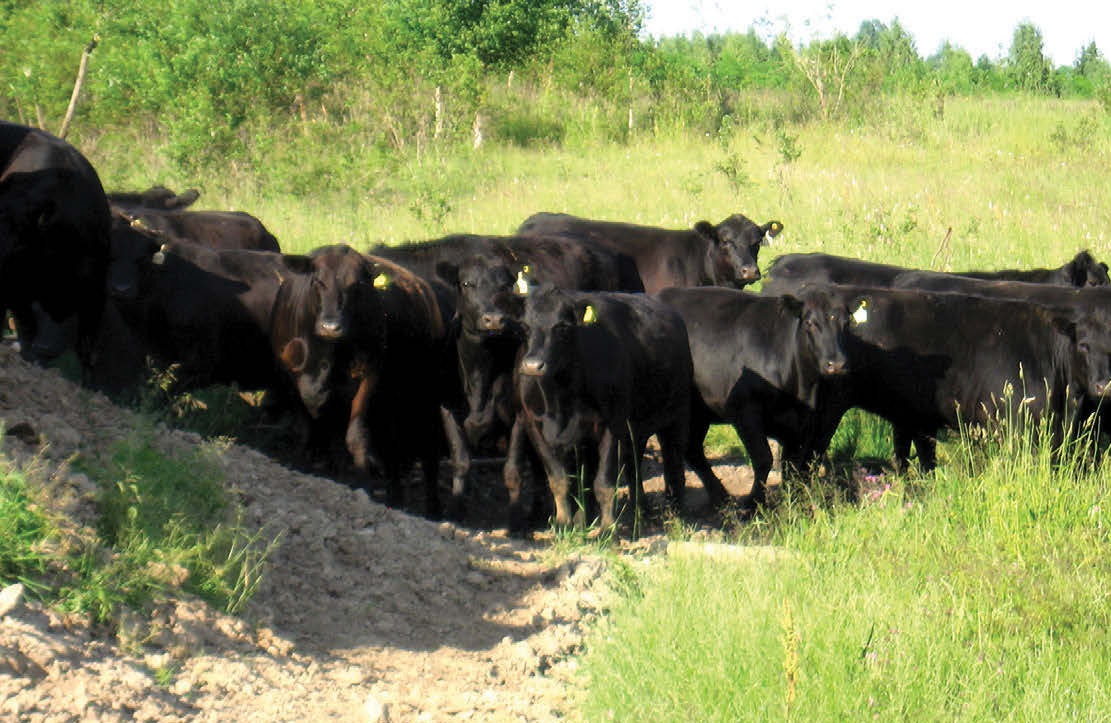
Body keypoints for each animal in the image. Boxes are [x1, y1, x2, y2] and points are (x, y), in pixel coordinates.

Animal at [653, 286, 853, 506]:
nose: (837, 364)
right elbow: (763, 458)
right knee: (674, 450)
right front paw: (753, 503)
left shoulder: (799, 422)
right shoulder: (745, 411)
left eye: (846, 322)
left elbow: (791, 465)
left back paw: (720, 496)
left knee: (692, 449)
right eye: (810, 322)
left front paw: (791, 502)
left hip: (699, 413)